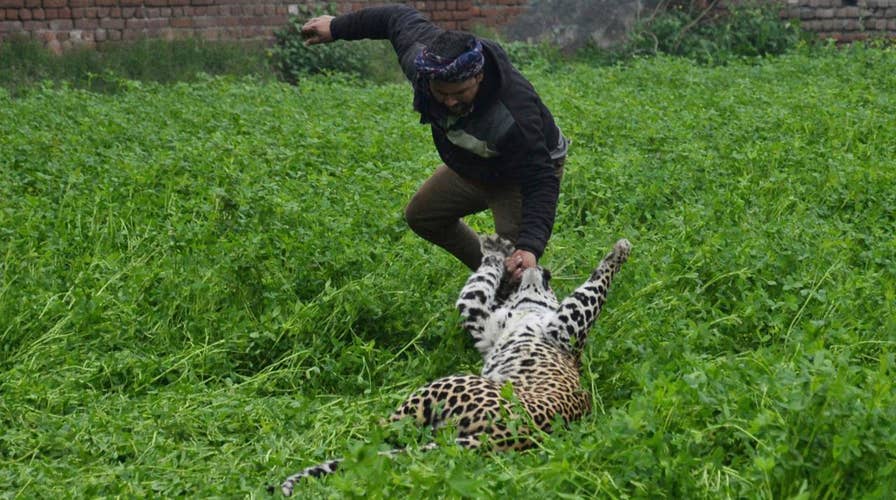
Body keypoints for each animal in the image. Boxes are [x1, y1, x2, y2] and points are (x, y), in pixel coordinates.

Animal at [276, 236, 632, 494]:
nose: (542, 270)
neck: (526, 307)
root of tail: (500, 438)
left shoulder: (567, 327)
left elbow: (594, 290)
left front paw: (621, 249)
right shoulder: (482, 322)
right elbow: (479, 285)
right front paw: (497, 251)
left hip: (446, 384)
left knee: (382, 433)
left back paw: (355, 424)